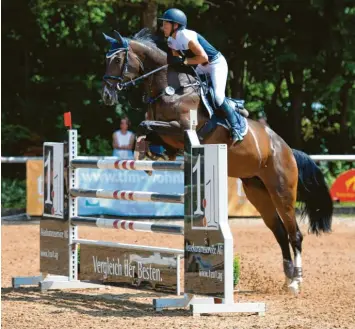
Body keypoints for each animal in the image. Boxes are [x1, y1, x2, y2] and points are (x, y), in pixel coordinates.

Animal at [102, 28, 334, 294]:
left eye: (117, 60)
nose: (106, 95)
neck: (171, 89)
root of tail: (286, 149)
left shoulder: (183, 128)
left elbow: (145, 124)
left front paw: (148, 153)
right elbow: (146, 131)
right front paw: (147, 153)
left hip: (282, 191)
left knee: (294, 233)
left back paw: (296, 281)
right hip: (257, 191)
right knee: (278, 231)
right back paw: (287, 276)